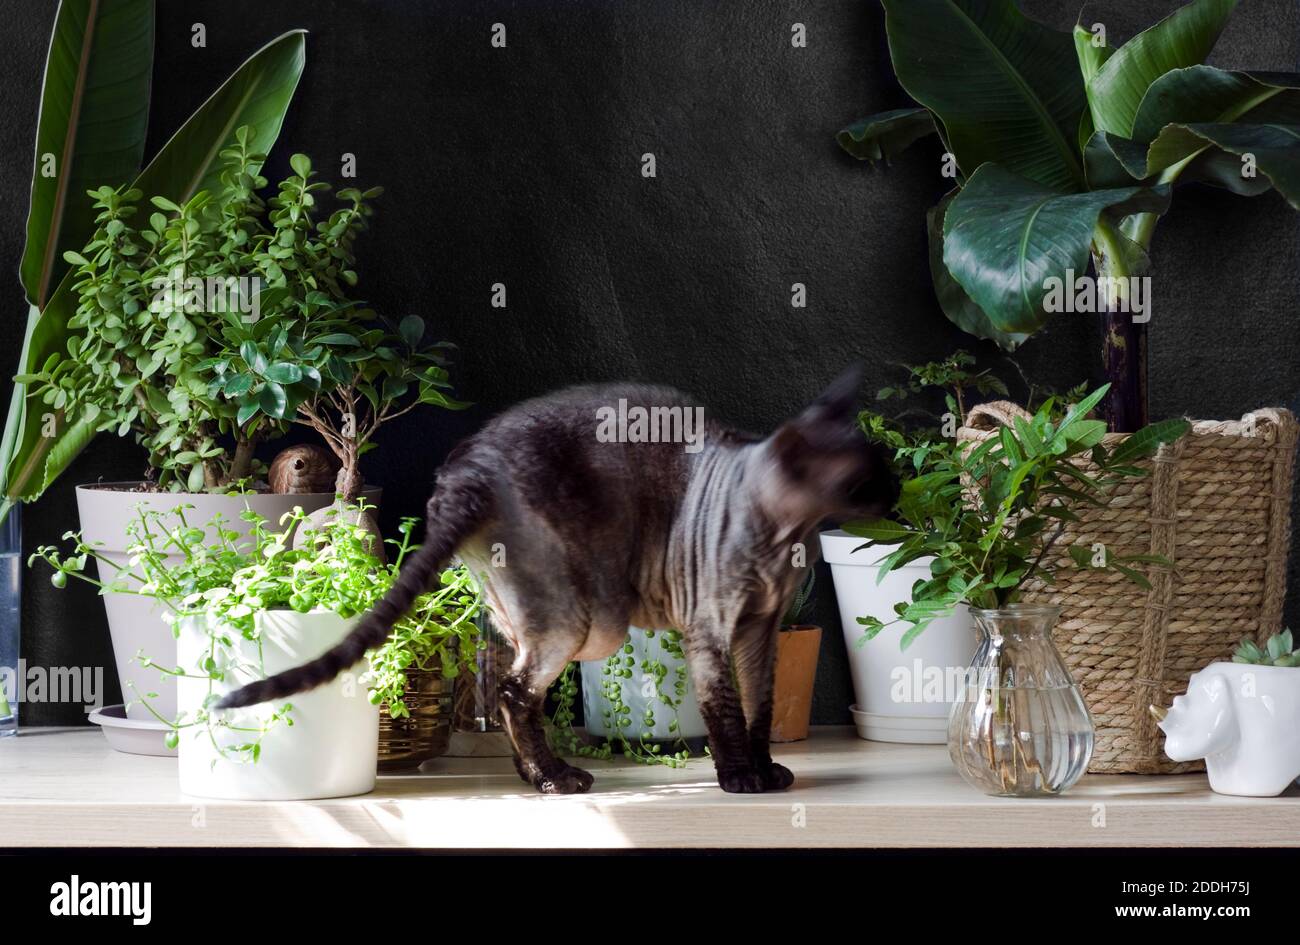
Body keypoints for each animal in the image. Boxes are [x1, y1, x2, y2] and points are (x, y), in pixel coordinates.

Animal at [220, 366, 894, 795]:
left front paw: (767, 771)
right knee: (515, 693)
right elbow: (724, 710)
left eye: (882, 467)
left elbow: (758, 709)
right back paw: (555, 780)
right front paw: (741, 780)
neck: (785, 536)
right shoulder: (710, 630)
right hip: (585, 623)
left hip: (540, 617)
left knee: (513, 690)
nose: (894, 496)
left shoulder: (760, 630)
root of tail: (468, 471)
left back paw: (536, 774)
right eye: (864, 479)